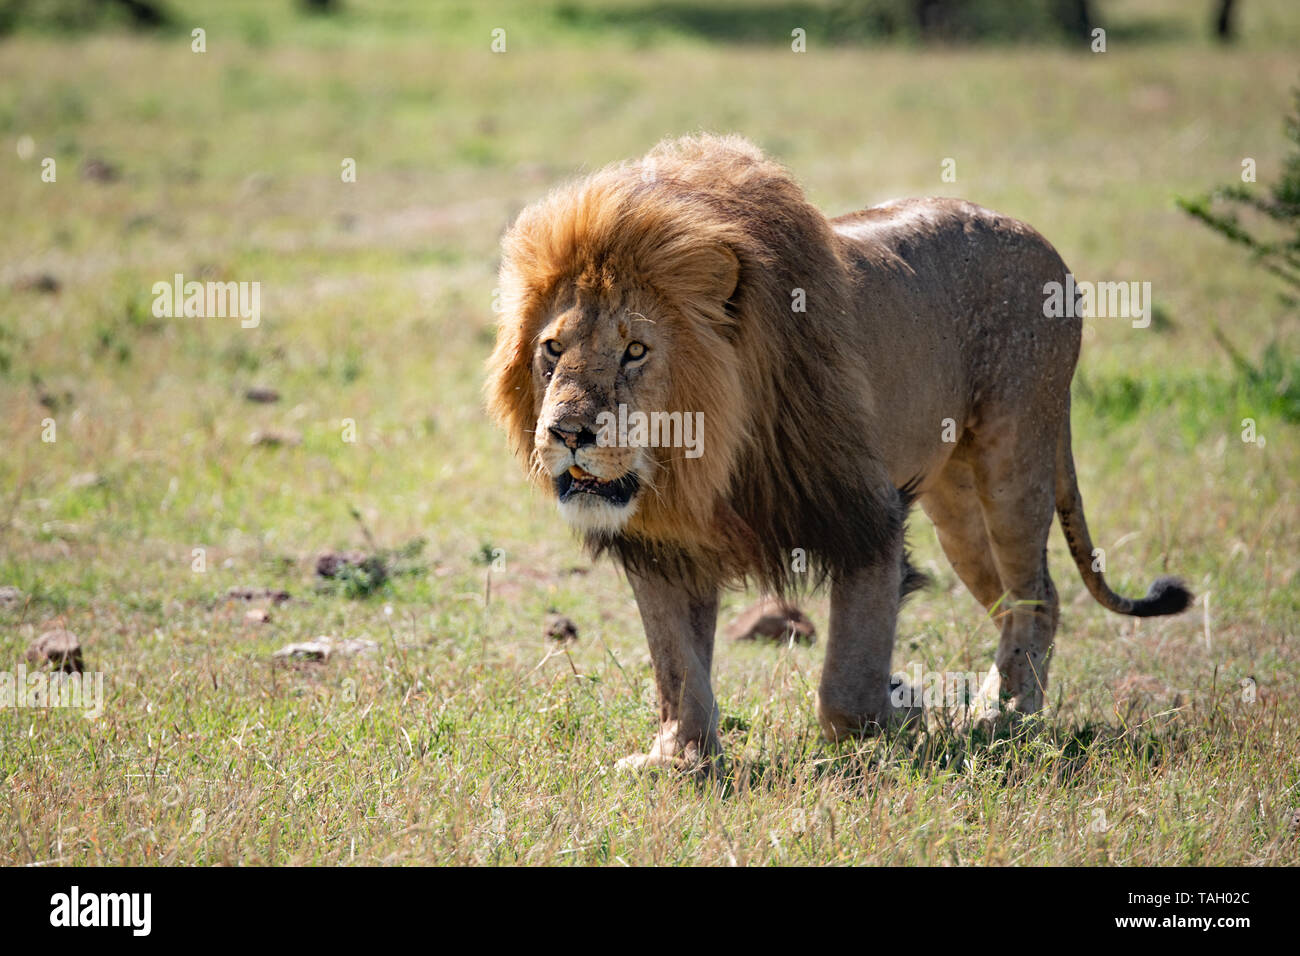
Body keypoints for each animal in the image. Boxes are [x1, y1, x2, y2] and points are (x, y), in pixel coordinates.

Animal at [486, 134, 1190, 775]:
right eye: (552, 349)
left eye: (635, 351)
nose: (569, 433)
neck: (704, 461)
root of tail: (1038, 239)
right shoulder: (665, 544)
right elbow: (677, 667)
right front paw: (680, 758)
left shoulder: (865, 516)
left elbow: (845, 687)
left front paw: (898, 711)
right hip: (958, 509)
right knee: (1027, 596)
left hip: (1013, 460)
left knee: (1035, 592)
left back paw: (1003, 714)